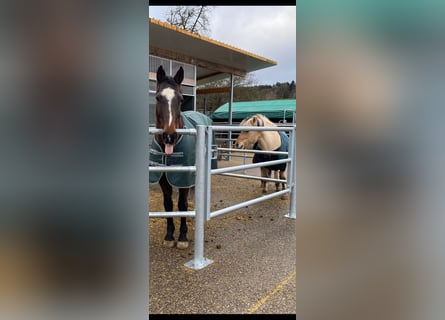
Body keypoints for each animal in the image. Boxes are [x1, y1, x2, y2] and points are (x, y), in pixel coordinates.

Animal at [149, 65, 215, 250]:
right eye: (158, 97)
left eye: (180, 98)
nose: (169, 136)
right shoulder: (164, 179)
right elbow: (169, 205)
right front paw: (169, 236)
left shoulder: (184, 177)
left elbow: (182, 205)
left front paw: (183, 237)